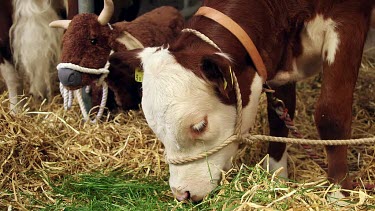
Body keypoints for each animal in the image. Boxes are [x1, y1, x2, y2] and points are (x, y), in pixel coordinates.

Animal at [110, 0, 374, 202]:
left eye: (200, 126)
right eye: (155, 129)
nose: (182, 194)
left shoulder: (347, 20)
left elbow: (330, 114)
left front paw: (339, 192)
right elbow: (279, 115)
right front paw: (276, 176)